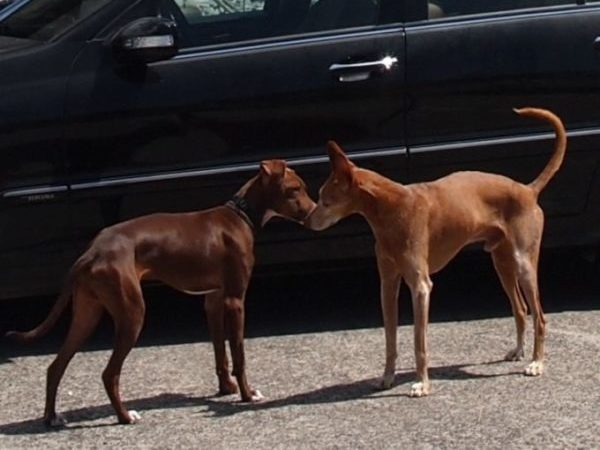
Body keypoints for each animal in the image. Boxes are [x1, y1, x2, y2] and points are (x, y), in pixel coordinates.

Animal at [7, 161, 316, 426]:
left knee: (56, 366)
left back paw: (52, 417)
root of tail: (92, 252)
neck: (239, 215)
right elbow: (238, 355)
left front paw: (226, 388)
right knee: (109, 373)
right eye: (295, 189)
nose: (315, 211)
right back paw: (125, 417)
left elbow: (220, 352)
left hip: (87, 314)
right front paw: (246, 394)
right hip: (132, 314)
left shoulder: (214, 300)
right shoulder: (235, 301)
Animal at [308, 109, 564, 398]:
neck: (392, 209)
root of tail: (528, 189)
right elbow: (390, 340)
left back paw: (536, 362)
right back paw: (519, 351)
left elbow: (419, 342)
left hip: (523, 264)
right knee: (520, 310)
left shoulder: (421, 287)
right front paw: (387, 377)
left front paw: (422, 383)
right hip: (502, 264)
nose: (306, 220)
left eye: (326, 201)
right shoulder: (388, 284)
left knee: (540, 317)